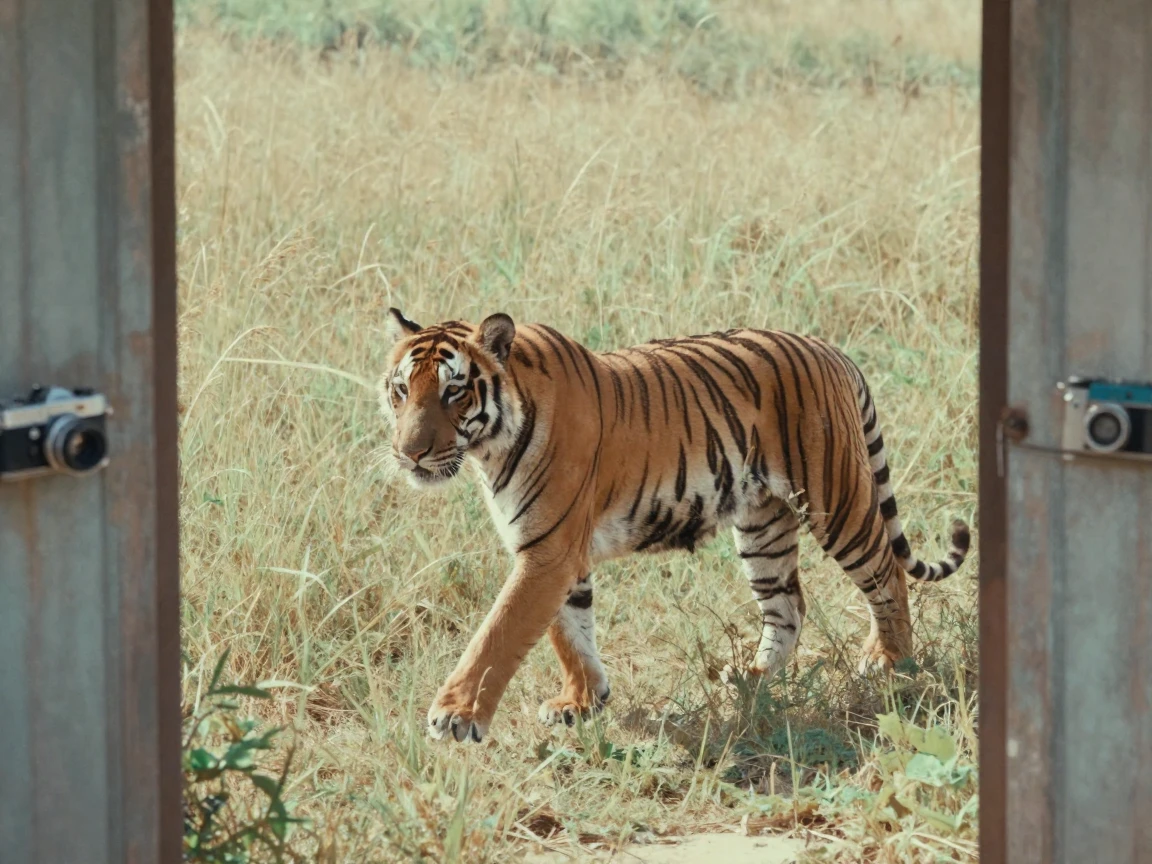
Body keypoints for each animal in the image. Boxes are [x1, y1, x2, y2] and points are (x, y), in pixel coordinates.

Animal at [377, 308, 970, 743]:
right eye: (401, 390)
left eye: (454, 390)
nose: (409, 453)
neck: (490, 448)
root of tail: (831, 350)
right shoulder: (554, 549)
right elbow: (569, 632)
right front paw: (583, 701)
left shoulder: (548, 551)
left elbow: (498, 634)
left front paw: (455, 717)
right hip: (762, 526)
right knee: (788, 605)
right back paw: (751, 679)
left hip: (836, 498)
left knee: (887, 573)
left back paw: (891, 662)